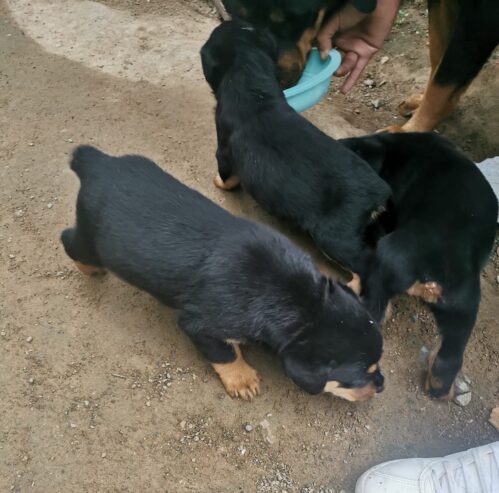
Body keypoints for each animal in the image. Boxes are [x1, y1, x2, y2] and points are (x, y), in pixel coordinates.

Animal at [60, 145, 384, 400]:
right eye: (360, 376)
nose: (380, 386)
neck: (303, 301)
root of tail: (97, 162)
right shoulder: (200, 324)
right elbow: (226, 353)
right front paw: (242, 379)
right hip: (92, 240)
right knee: (69, 240)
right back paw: (89, 269)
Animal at [201, 21, 392, 282]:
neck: (254, 89)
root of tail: (380, 192)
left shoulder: (224, 149)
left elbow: (226, 175)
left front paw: (218, 182)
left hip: (335, 237)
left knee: (364, 267)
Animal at [342, 132, 498, 400]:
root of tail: (437, 276)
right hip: (463, 305)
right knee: (452, 351)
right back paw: (438, 385)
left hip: (391, 255)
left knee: (375, 309)